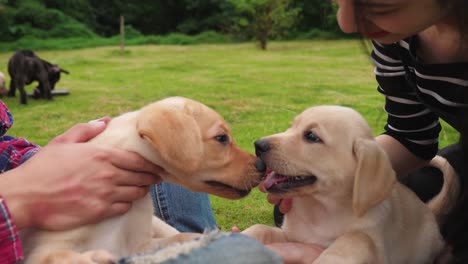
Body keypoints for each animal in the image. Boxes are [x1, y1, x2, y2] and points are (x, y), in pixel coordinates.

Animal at [20, 97, 264, 264]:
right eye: (222, 138)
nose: (262, 166)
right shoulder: (40, 251)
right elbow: (59, 256)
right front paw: (93, 257)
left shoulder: (139, 246)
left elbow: (179, 238)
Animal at [243, 105, 444, 264]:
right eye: (292, 126)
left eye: (311, 136)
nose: (258, 145)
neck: (321, 210)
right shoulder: (291, 236)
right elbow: (261, 229)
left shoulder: (375, 248)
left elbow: (355, 238)